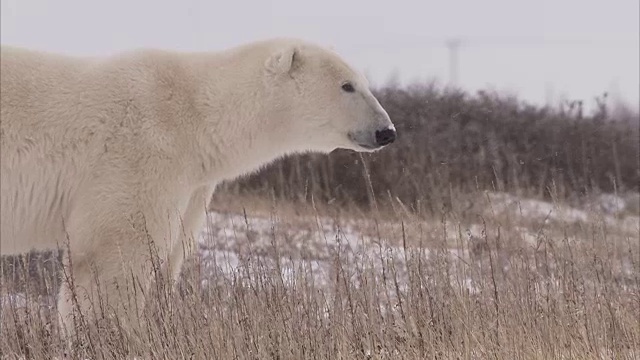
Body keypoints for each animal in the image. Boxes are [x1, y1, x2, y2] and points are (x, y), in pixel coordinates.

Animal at [0, 39, 396, 338]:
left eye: (362, 81)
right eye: (347, 85)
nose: (386, 131)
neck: (199, 115)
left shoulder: (193, 184)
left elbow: (170, 254)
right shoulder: (141, 154)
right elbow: (111, 254)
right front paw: (110, 336)